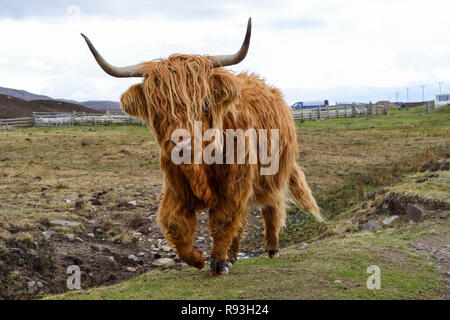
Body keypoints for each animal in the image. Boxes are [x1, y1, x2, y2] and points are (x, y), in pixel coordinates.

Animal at [82, 18, 322, 276]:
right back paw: (234, 254)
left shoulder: (234, 184)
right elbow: (175, 224)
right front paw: (197, 259)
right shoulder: (176, 188)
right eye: (157, 108)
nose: (183, 144)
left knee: (271, 207)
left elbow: (224, 219)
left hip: (273, 174)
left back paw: (272, 248)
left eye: (204, 103)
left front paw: (218, 262)